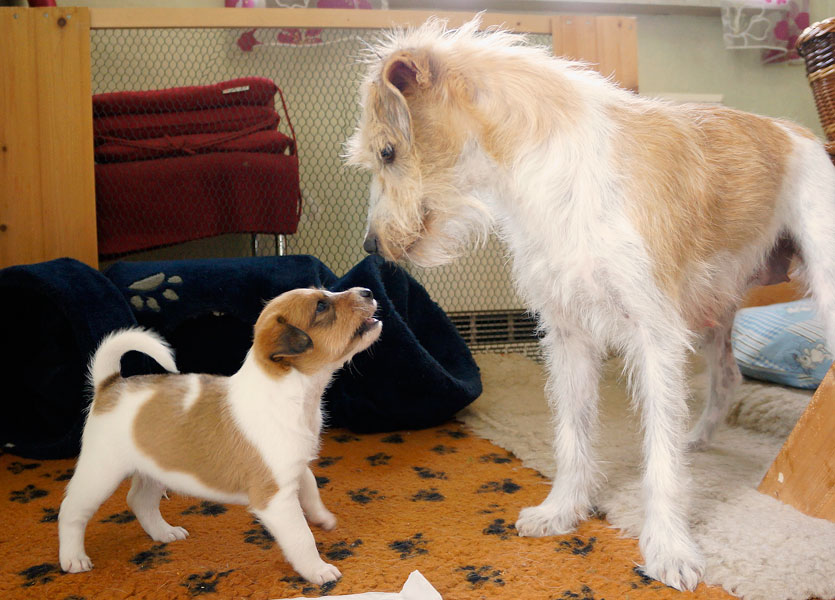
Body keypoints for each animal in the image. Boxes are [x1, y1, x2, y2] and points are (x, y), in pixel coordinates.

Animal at [58, 287, 382, 584]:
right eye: (321, 306)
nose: (367, 291)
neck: (293, 394)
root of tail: (110, 385)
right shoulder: (275, 498)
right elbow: (302, 537)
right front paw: (318, 570)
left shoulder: (294, 468)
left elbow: (312, 488)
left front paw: (322, 518)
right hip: (101, 472)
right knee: (71, 511)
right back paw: (73, 558)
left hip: (156, 468)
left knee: (139, 500)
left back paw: (164, 532)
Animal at [345, 17, 835, 590]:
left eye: (387, 152)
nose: (371, 246)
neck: (551, 177)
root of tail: (800, 133)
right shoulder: (568, 336)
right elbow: (572, 432)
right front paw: (563, 510)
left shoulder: (655, 336)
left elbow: (659, 456)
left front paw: (668, 547)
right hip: (713, 309)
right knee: (728, 376)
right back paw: (698, 437)